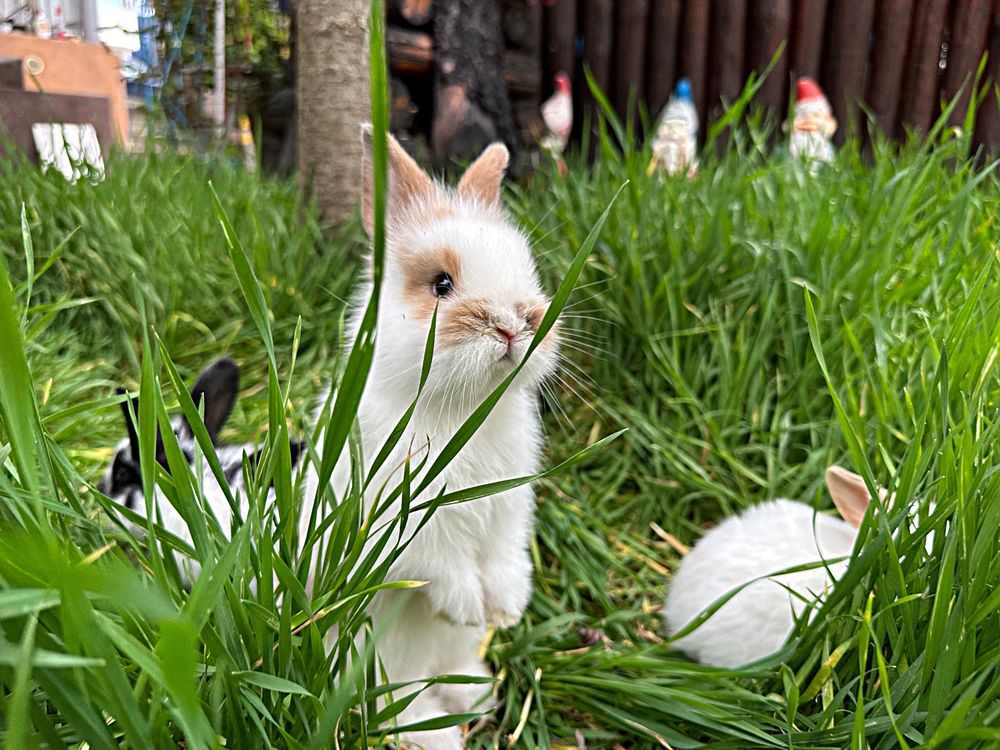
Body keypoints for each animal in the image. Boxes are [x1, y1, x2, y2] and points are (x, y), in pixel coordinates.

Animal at [306, 131, 564, 750]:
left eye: (527, 271)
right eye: (441, 284)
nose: (513, 325)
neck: (467, 409)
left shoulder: (510, 506)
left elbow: (503, 554)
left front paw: (505, 609)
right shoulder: (405, 519)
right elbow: (444, 562)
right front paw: (469, 607)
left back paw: (476, 693)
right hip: (373, 660)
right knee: (391, 706)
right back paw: (436, 732)